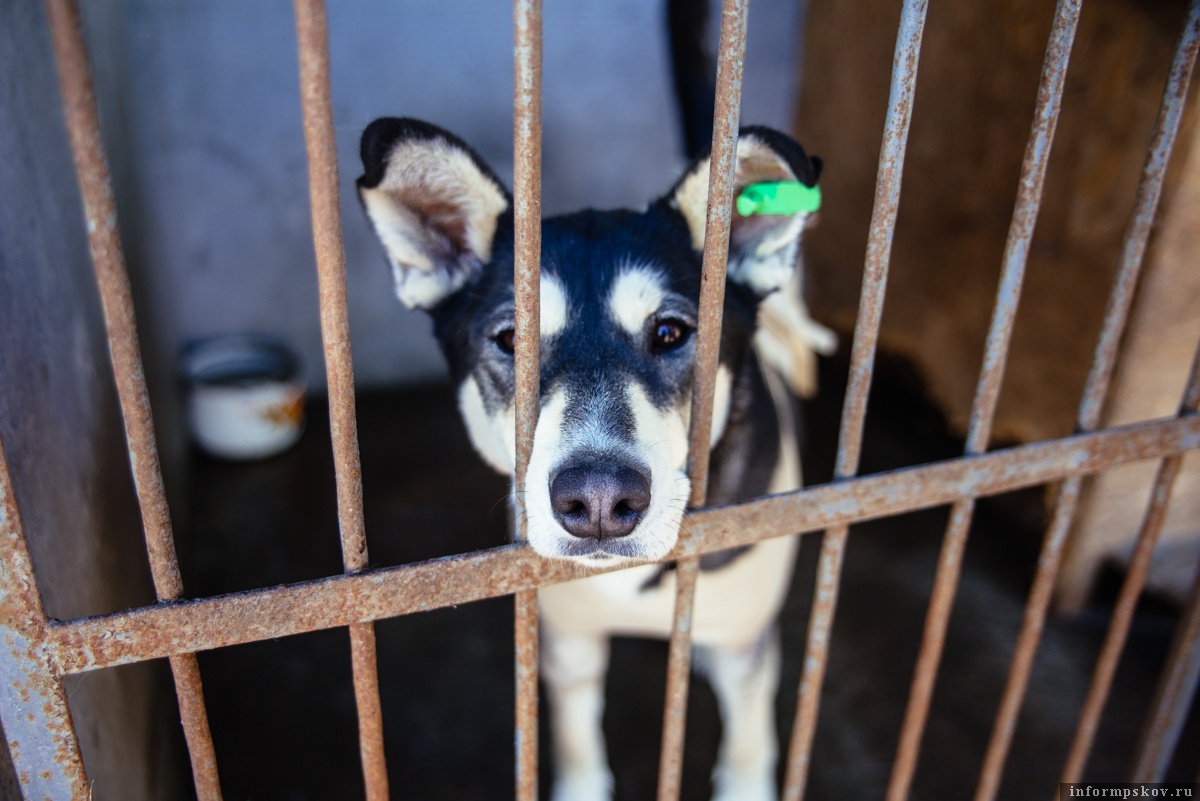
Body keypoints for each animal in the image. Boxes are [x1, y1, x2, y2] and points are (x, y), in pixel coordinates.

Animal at [352, 117, 825, 801]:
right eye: (512, 340)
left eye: (672, 333)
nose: (599, 500)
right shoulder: (568, 642)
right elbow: (577, 737)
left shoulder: (746, 646)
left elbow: (747, 741)